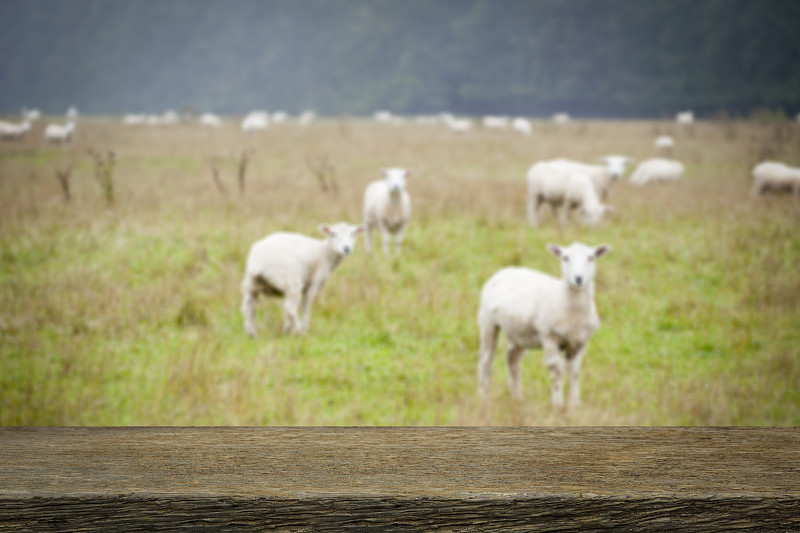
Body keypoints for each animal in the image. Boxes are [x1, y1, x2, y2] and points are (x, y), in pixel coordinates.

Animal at [476, 242, 612, 408]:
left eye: (591, 258)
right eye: (565, 258)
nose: (578, 278)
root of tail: (505, 270)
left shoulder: (581, 342)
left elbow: (574, 372)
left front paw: (574, 404)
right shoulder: (549, 336)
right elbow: (557, 369)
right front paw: (558, 404)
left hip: (521, 332)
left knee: (512, 357)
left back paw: (517, 397)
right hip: (488, 322)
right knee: (485, 359)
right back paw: (484, 396)